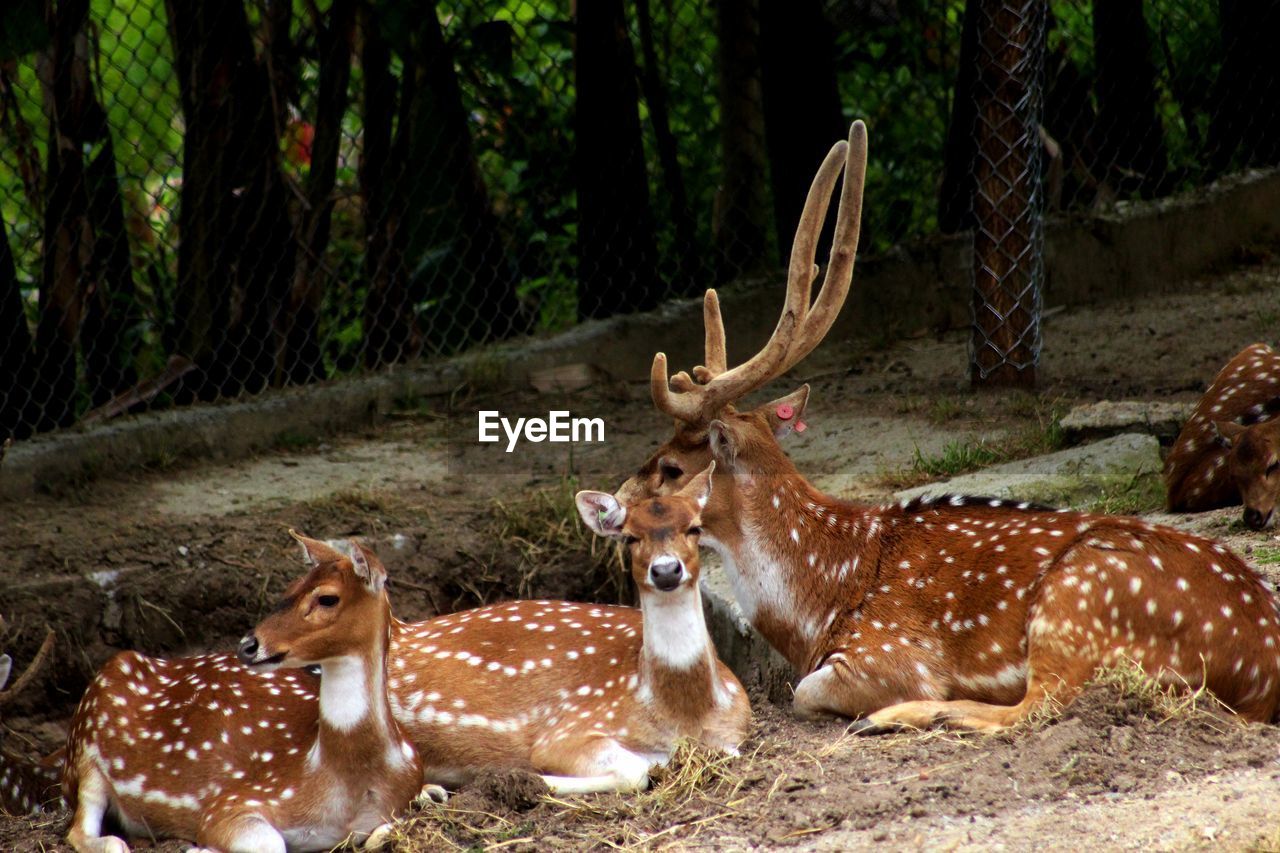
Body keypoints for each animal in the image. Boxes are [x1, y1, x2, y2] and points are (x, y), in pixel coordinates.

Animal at [7, 532, 424, 850]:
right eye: (288, 588)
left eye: (327, 598)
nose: (248, 645)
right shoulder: (232, 801)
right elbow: (269, 842)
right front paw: (198, 846)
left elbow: (389, 829)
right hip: (85, 751)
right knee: (85, 830)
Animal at [384, 466, 752, 788]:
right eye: (630, 537)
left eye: (694, 528)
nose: (665, 570)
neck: (683, 716)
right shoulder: (565, 729)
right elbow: (634, 772)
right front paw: (525, 778)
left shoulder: (737, 729)